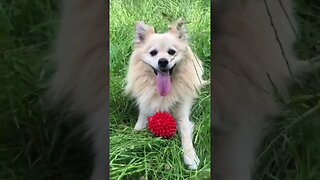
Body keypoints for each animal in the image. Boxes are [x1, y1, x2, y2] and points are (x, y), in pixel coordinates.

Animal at [124, 18, 206, 170]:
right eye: (153, 53)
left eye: (171, 52)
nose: (163, 61)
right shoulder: (145, 110)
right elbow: (138, 126)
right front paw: (130, 142)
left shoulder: (182, 116)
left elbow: (186, 135)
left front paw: (190, 157)